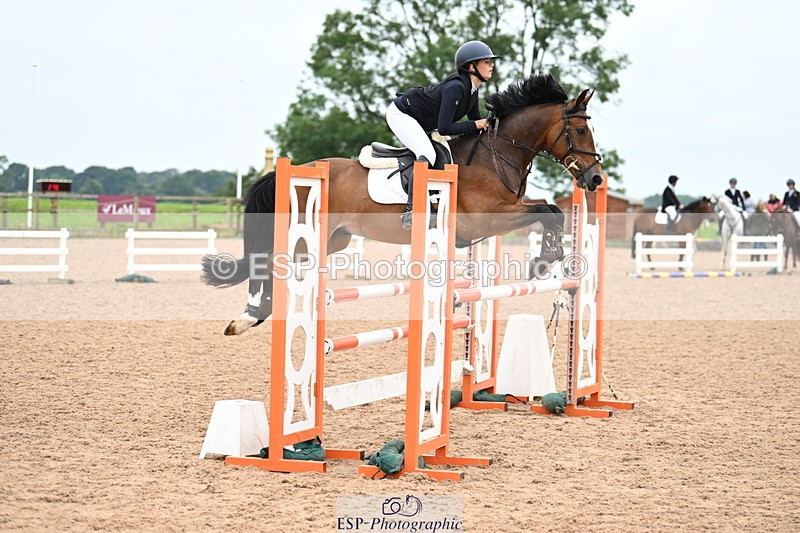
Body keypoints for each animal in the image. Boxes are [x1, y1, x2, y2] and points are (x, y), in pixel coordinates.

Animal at [202, 74, 607, 336]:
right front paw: (544, 260)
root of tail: (300, 169)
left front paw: (546, 259)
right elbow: (547, 212)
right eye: (580, 130)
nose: (595, 180)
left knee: (274, 263)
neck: (495, 154)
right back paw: (247, 316)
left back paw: (258, 314)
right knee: (266, 261)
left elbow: (550, 211)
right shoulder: (486, 221)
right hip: (305, 232)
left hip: (332, 240)